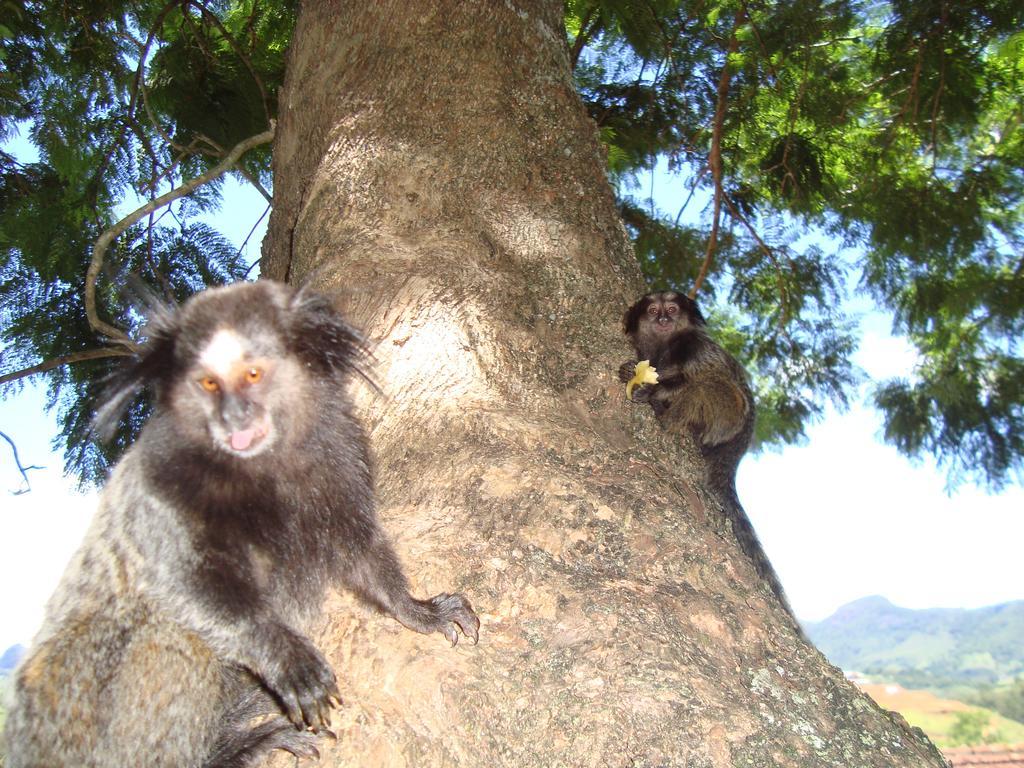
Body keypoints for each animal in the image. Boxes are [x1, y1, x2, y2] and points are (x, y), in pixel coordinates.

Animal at [4, 280, 479, 768]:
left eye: (252, 375)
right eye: (208, 383)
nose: (232, 416)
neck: (264, 469)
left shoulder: (339, 453)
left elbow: (358, 549)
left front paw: (417, 610)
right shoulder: (162, 482)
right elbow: (182, 586)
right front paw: (289, 662)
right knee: (169, 634)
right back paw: (231, 749)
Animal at [614, 290, 798, 626]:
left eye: (672, 310)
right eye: (653, 311)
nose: (664, 319)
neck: (666, 344)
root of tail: (738, 448)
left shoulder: (696, 349)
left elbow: (697, 376)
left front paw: (650, 390)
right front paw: (634, 371)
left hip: (727, 418)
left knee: (708, 385)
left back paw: (666, 418)